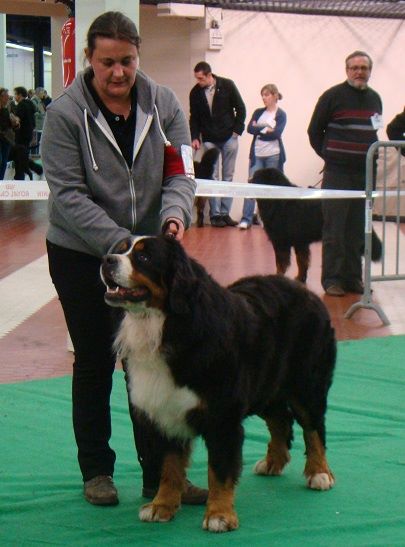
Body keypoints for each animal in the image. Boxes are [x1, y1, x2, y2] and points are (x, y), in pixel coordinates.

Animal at [101, 237, 334, 536]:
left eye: (143, 258)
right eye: (121, 249)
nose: (107, 259)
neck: (166, 327)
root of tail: (306, 291)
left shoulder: (223, 417)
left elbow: (219, 471)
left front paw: (220, 515)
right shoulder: (164, 411)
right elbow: (169, 467)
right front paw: (161, 506)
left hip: (307, 385)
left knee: (313, 427)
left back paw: (319, 473)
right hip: (264, 388)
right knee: (281, 420)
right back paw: (273, 461)